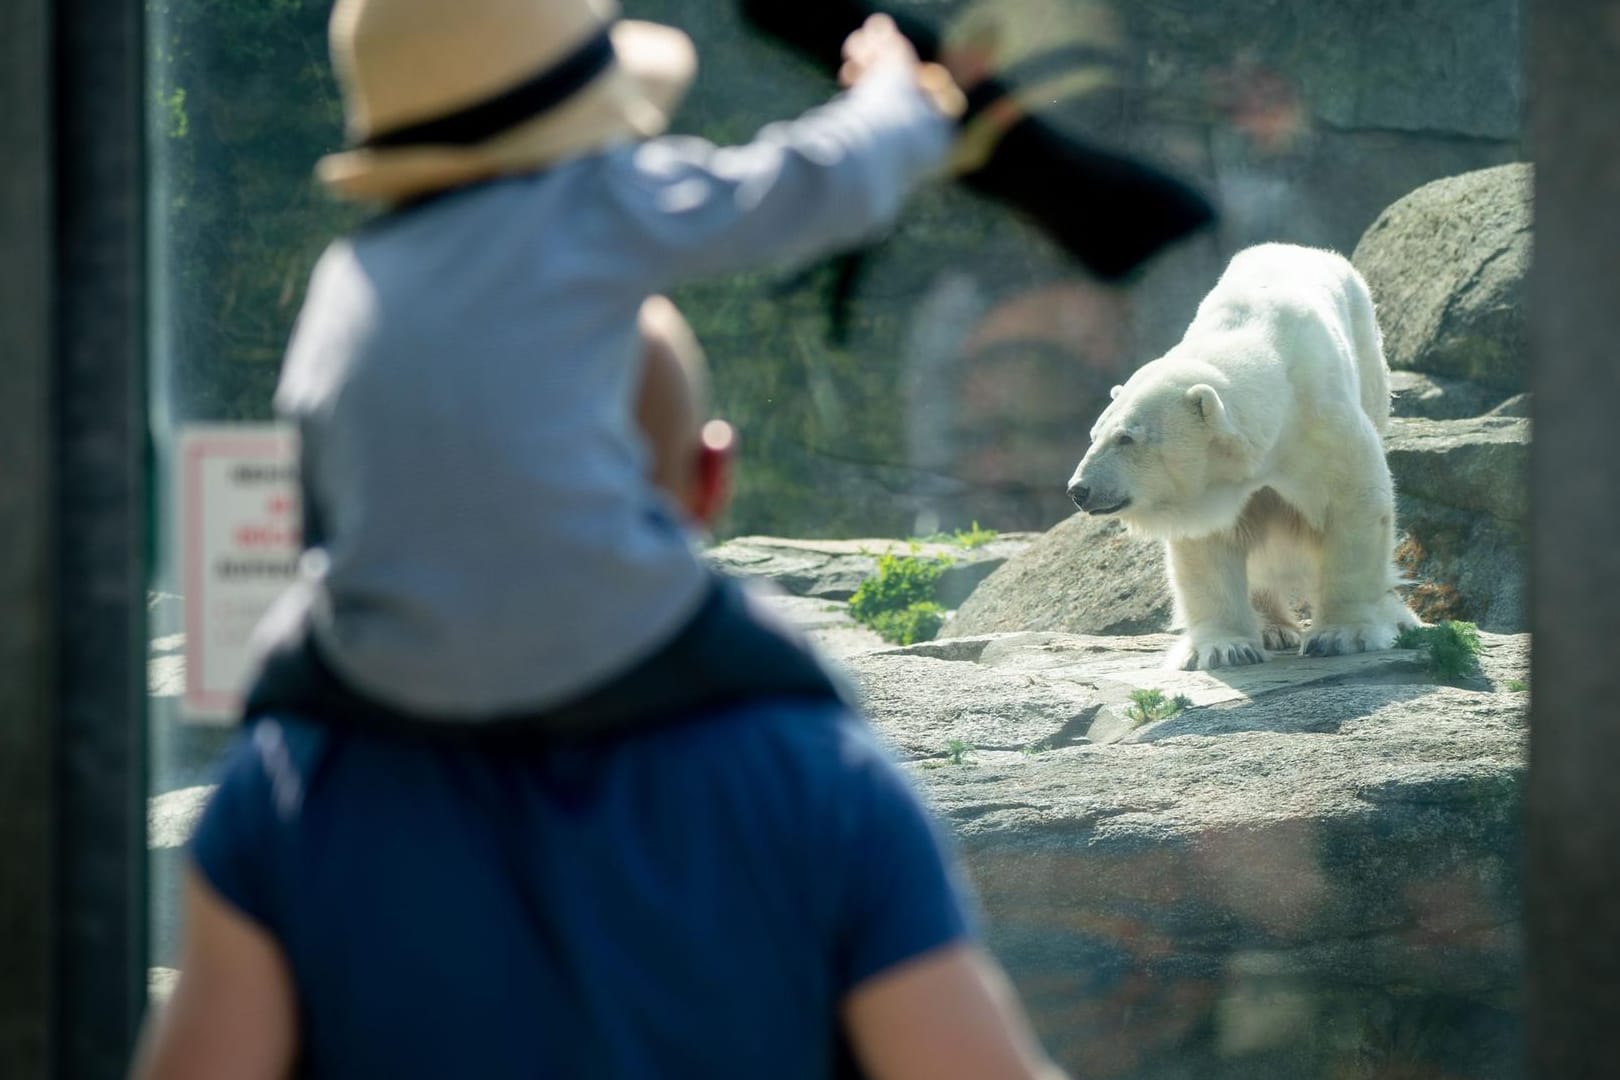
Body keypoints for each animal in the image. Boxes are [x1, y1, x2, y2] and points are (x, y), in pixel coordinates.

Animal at [1062, 244, 1419, 667]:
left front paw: (1343, 635)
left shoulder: (1321, 425)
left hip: (1368, 361)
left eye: (1126, 438)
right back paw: (1271, 628)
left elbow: (1354, 504)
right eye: (1094, 435)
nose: (1078, 490)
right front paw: (1225, 648)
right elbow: (1208, 544)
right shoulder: (1213, 487)